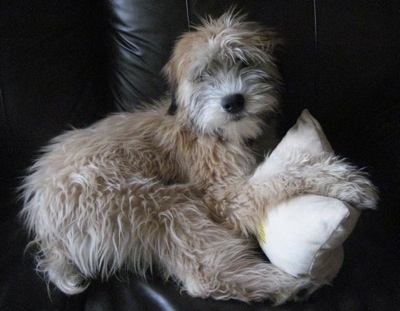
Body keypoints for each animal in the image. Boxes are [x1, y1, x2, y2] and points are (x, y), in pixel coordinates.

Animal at [21, 11, 378, 304]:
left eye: (245, 63)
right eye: (204, 75)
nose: (233, 101)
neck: (212, 131)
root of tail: (48, 235)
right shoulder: (222, 197)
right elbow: (280, 174)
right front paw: (345, 181)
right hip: (156, 200)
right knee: (205, 277)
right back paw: (288, 286)